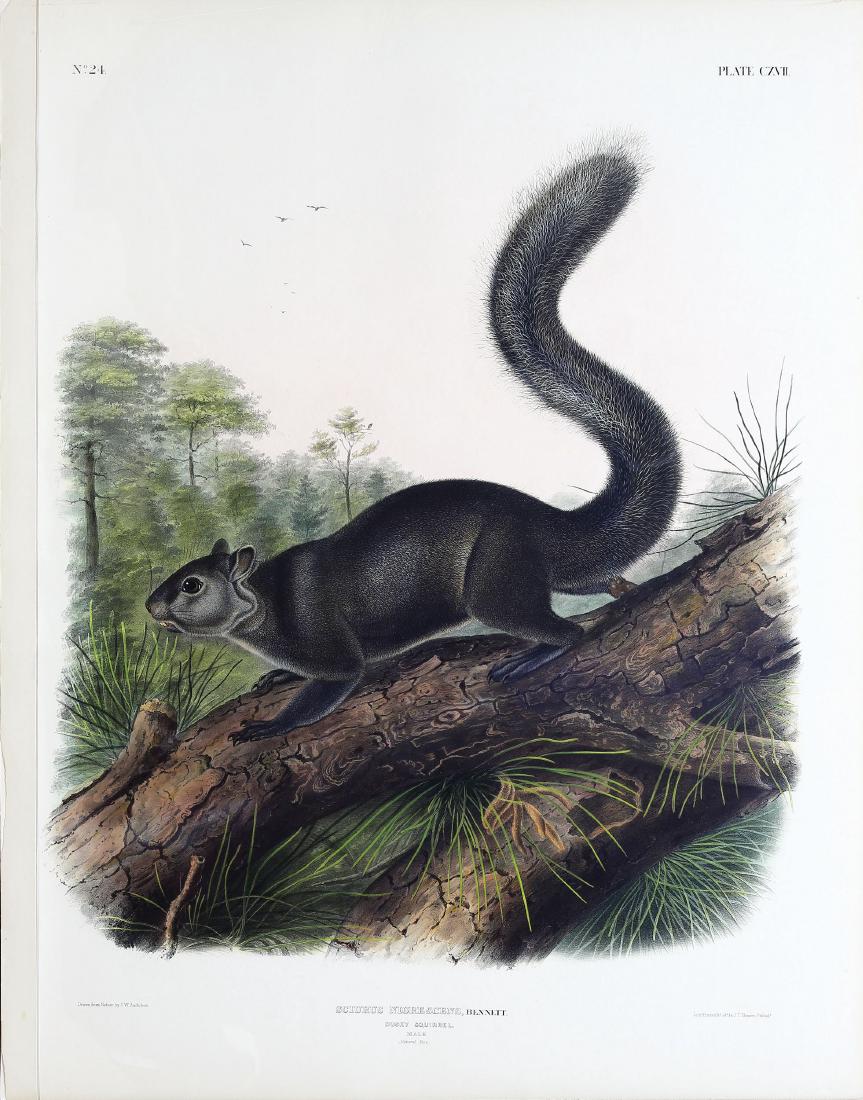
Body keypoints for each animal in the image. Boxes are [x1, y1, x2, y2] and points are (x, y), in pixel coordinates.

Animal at [145, 143, 681, 742]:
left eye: (190, 585)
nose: (149, 605)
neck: (264, 603)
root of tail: (548, 522)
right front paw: (271, 679)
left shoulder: (328, 650)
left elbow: (332, 684)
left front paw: (265, 727)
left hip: (497, 579)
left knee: (571, 633)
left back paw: (534, 655)